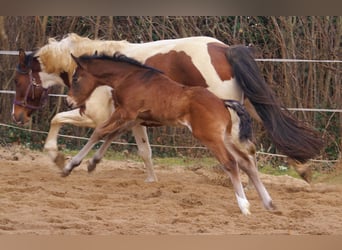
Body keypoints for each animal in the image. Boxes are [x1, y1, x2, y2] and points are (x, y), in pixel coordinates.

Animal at [10, 33, 320, 181]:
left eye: (17, 79)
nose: (16, 115)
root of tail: (224, 49)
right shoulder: (132, 118)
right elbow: (142, 150)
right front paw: (149, 178)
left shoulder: (95, 115)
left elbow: (58, 120)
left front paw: (57, 157)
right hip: (244, 105)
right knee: (270, 128)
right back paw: (302, 169)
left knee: (246, 147)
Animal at [65, 52, 276, 215]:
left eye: (75, 79)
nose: (69, 102)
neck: (130, 77)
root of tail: (223, 102)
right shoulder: (133, 118)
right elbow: (110, 135)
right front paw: (92, 163)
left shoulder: (126, 112)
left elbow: (99, 131)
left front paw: (70, 166)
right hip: (225, 137)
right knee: (246, 162)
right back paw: (269, 203)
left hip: (210, 138)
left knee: (231, 163)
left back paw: (244, 205)